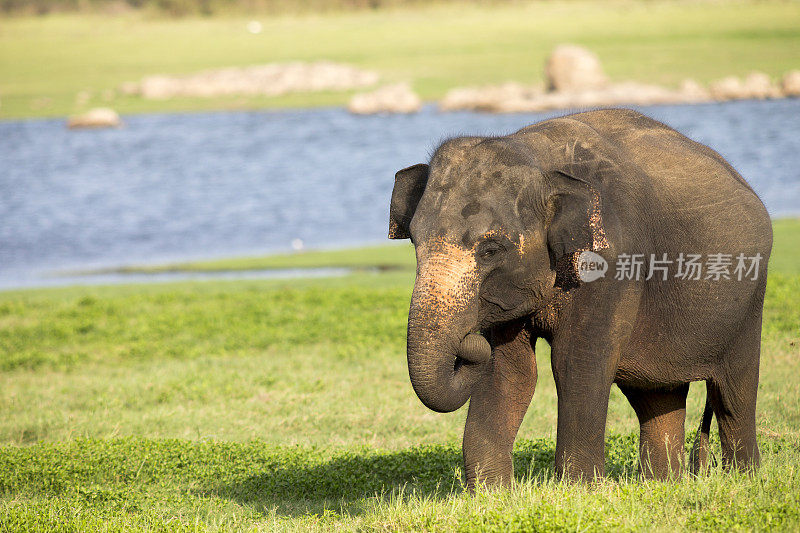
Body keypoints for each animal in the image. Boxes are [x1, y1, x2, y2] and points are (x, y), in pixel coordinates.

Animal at [390, 107, 772, 486]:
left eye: (489, 250)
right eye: (414, 241)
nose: (469, 340)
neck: (536, 156)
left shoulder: (611, 263)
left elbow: (576, 362)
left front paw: (580, 489)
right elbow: (509, 370)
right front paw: (492, 493)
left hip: (749, 302)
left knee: (733, 396)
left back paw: (744, 479)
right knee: (657, 398)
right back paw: (663, 484)